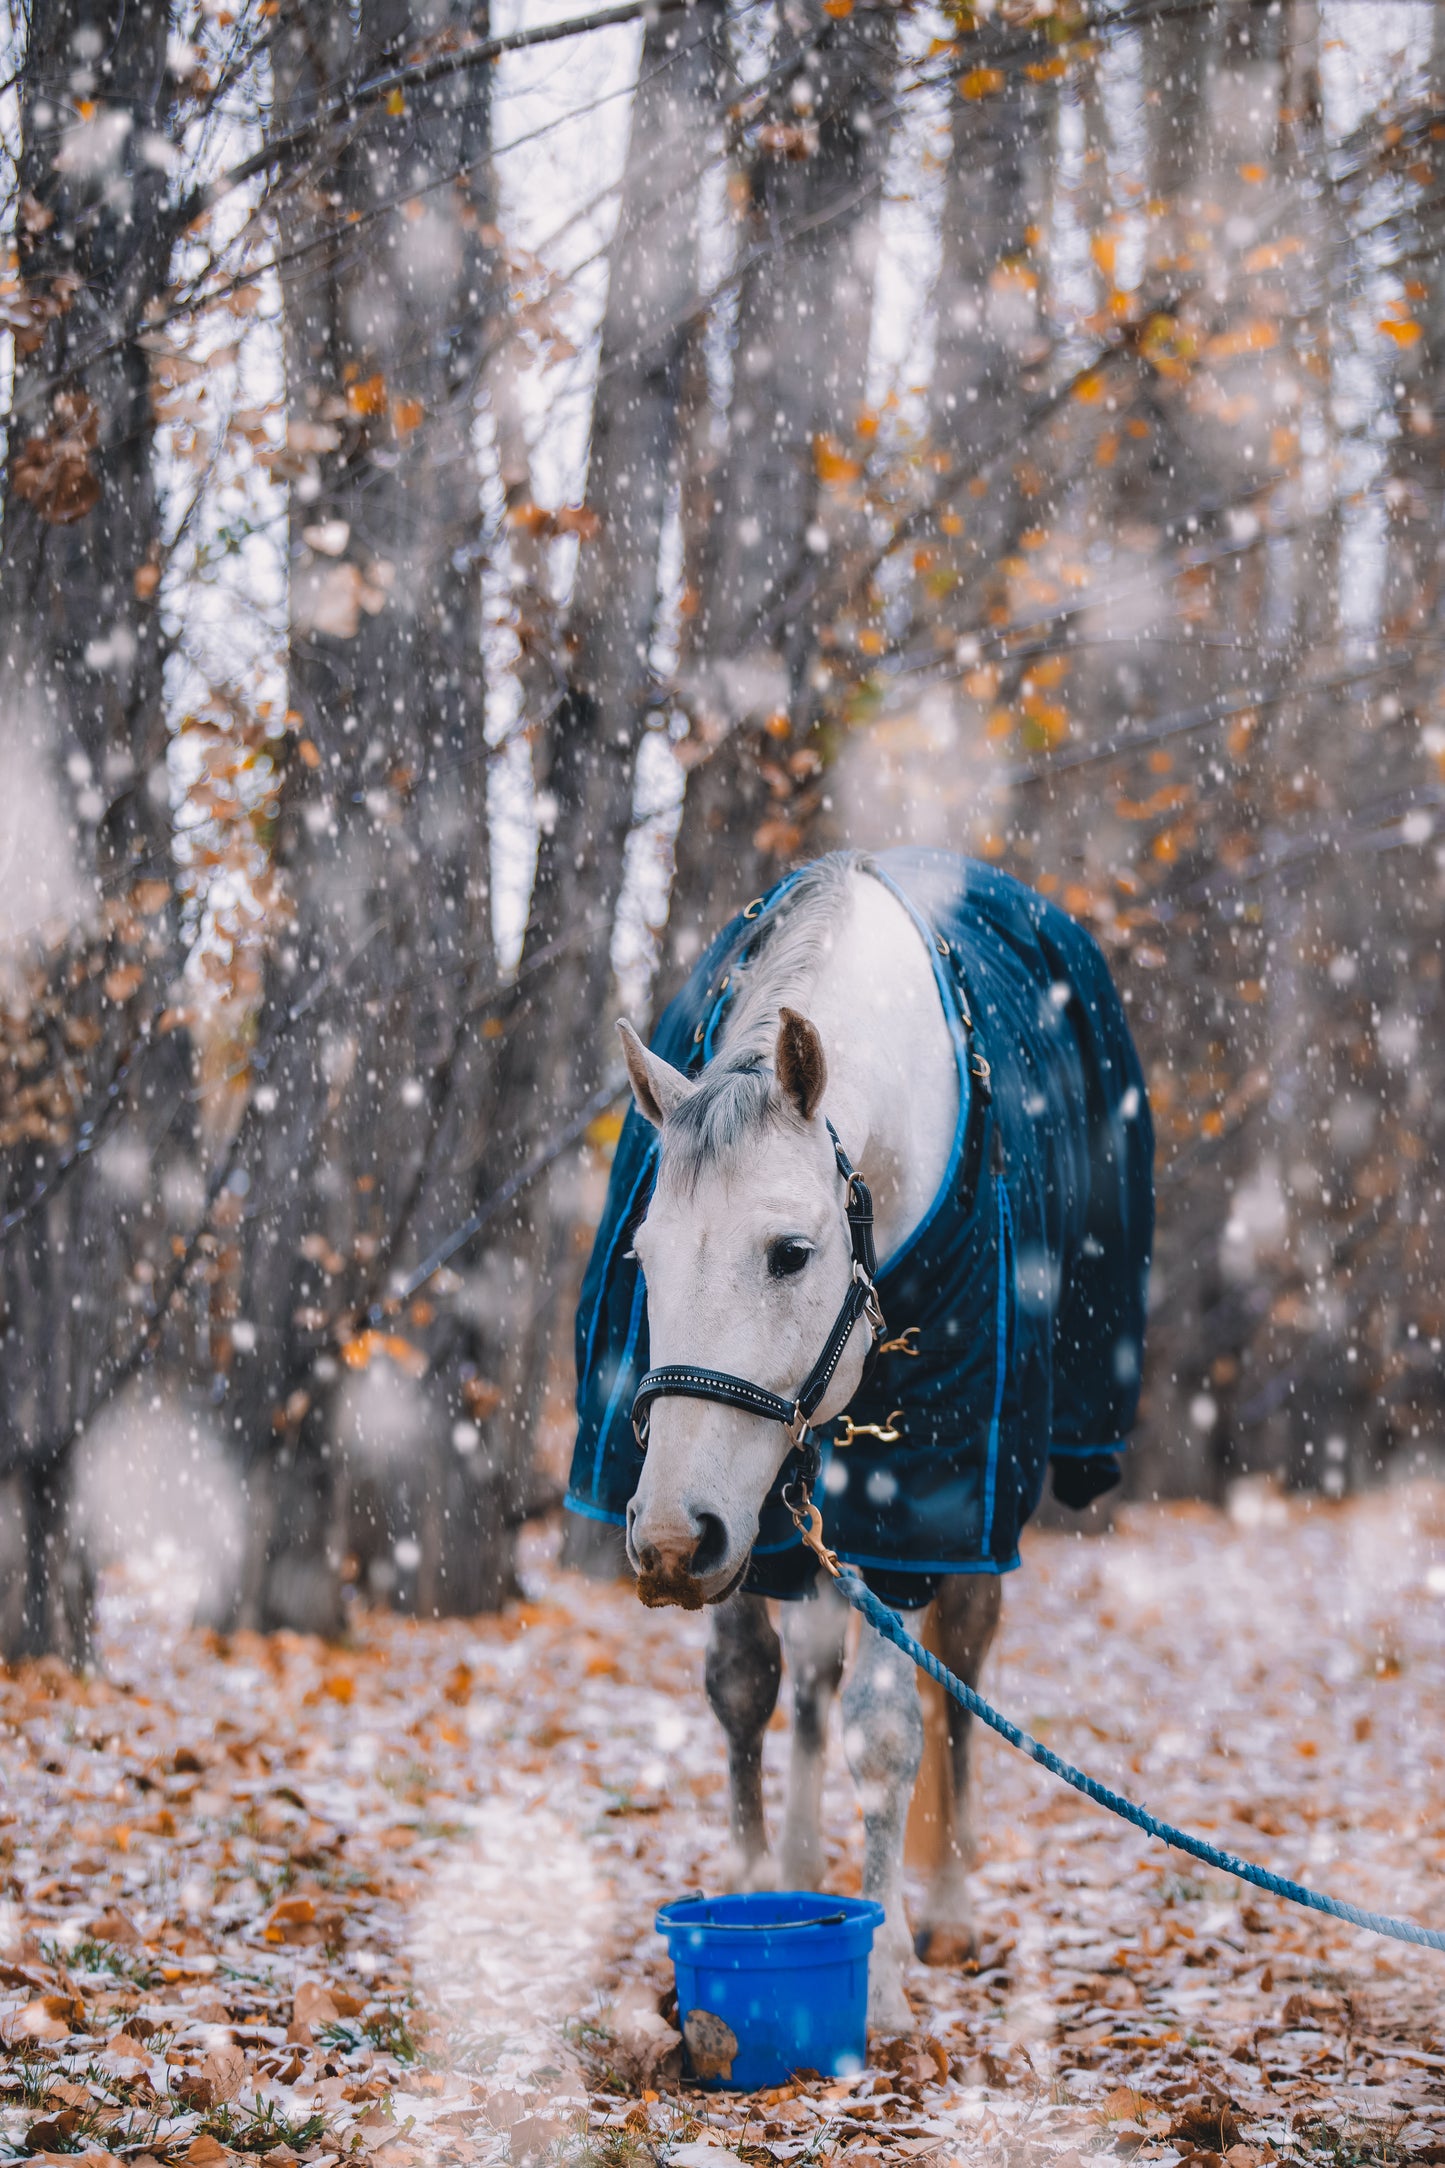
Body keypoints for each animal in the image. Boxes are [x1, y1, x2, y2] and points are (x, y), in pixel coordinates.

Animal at [615, 858, 1000, 2029]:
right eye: (641, 1256)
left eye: (789, 1252)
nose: (663, 1538)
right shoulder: (741, 1526)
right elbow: (746, 1687)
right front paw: (750, 1892)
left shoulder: (921, 1507)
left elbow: (891, 1730)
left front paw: (883, 1974)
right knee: (813, 1685)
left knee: (957, 1680)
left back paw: (947, 1905)